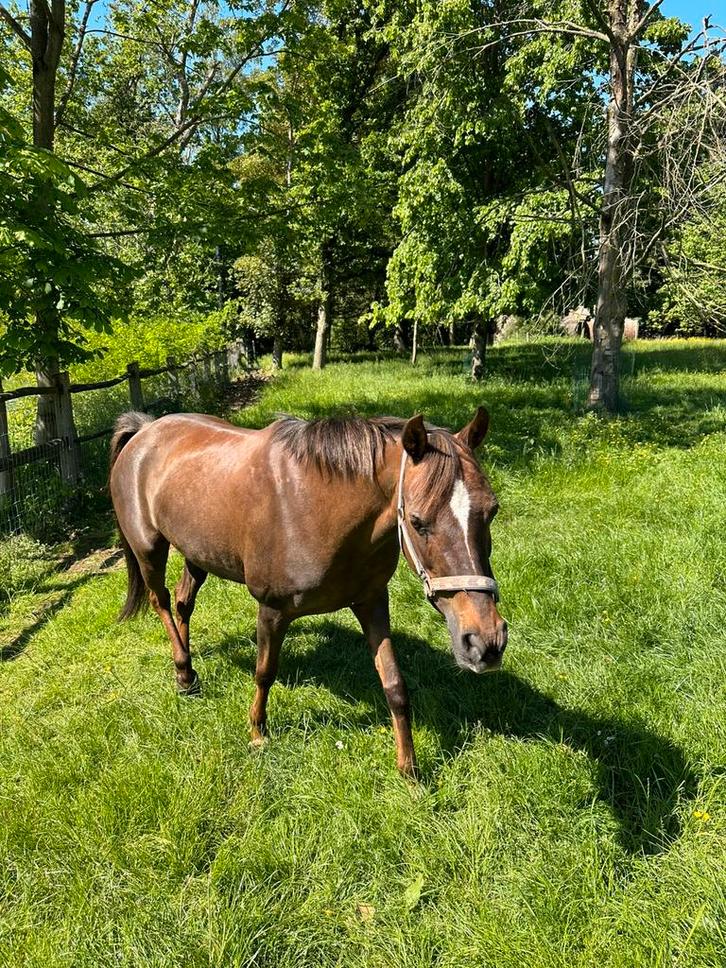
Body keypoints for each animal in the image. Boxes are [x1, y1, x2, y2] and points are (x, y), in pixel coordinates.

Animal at [108, 407, 507, 775]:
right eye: (417, 521)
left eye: (492, 510)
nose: (486, 641)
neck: (316, 508)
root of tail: (144, 430)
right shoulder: (272, 609)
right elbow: (265, 672)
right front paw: (257, 733)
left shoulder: (372, 601)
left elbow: (394, 684)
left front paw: (408, 769)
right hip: (149, 550)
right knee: (161, 601)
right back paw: (184, 674)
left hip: (198, 553)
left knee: (183, 602)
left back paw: (189, 668)